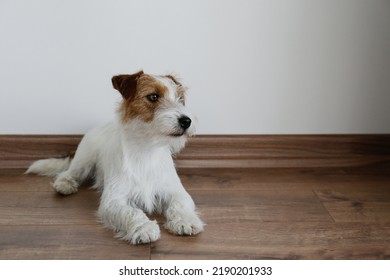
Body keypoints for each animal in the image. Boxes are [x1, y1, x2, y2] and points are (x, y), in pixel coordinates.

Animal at [25, 70, 204, 245]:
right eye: (153, 97)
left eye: (180, 98)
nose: (186, 121)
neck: (146, 149)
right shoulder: (114, 200)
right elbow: (132, 212)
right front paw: (144, 228)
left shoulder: (175, 191)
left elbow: (180, 204)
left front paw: (185, 221)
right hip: (84, 160)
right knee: (69, 172)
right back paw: (64, 184)